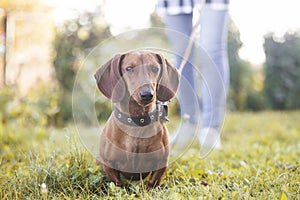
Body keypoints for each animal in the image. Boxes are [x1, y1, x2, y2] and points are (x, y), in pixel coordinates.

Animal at [94, 50, 178, 188]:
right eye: (129, 68)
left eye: (155, 68)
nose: (147, 94)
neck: (138, 121)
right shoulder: (109, 165)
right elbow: (118, 184)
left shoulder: (161, 164)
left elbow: (152, 183)